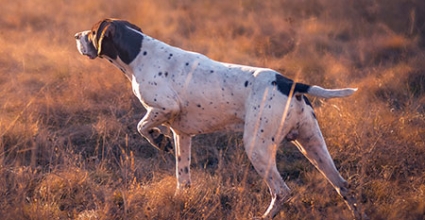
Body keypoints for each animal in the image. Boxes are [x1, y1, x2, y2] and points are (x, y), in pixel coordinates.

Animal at [74, 18, 360, 218]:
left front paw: (158, 140)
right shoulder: (182, 134)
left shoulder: (165, 107)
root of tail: (289, 83)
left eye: (92, 32)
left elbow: (141, 126)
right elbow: (182, 177)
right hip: (312, 144)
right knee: (344, 186)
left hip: (257, 147)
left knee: (282, 191)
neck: (140, 54)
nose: (76, 35)